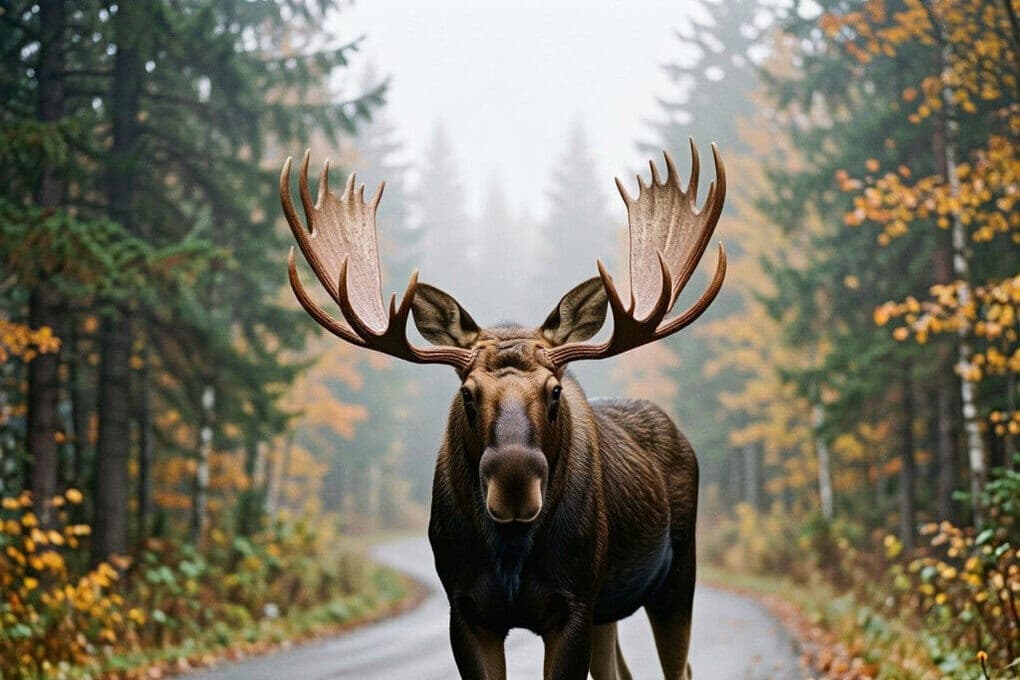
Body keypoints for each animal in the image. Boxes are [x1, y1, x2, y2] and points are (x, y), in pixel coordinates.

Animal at [280, 139, 726, 680]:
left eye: (554, 391)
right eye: (468, 394)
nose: (514, 484)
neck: (512, 559)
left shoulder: (574, 603)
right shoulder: (466, 608)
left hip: (677, 577)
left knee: (679, 666)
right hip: (612, 607)